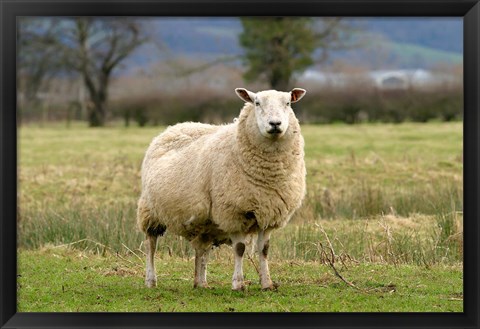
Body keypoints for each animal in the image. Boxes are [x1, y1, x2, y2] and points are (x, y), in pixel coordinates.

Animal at [137, 87, 306, 290]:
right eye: (256, 103)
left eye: (288, 103)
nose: (275, 124)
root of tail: (174, 127)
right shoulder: (233, 212)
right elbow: (239, 249)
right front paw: (238, 284)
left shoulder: (269, 214)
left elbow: (264, 250)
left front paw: (267, 284)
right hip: (150, 211)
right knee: (150, 245)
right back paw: (150, 280)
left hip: (204, 222)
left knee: (201, 249)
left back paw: (200, 283)